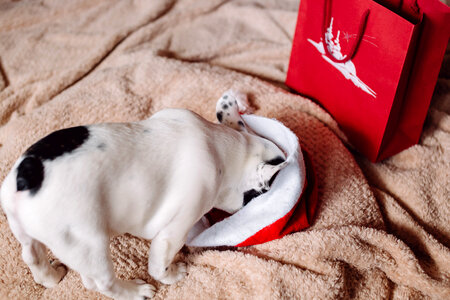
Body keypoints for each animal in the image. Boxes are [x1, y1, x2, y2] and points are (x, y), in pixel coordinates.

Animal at [0, 90, 286, 298]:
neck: (221, 148)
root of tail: (23, 183)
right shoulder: (178, 224)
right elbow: (160, 263)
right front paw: (173, 274)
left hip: (27, 231)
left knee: (31, 255)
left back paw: (51, 277)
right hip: (87, 242)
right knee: (100, 283)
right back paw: (135, 291)